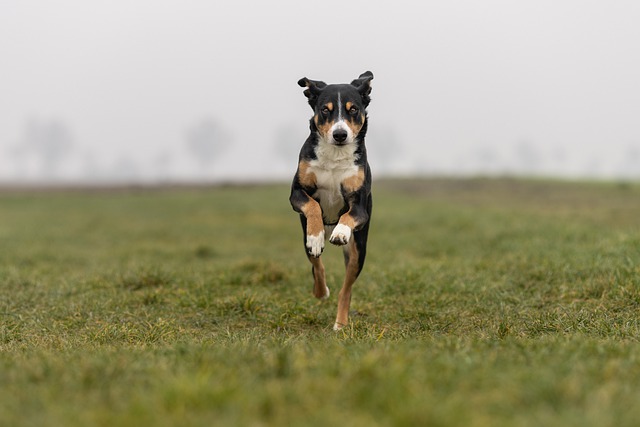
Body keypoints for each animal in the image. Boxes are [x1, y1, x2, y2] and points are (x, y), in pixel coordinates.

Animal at [292, 71, 376, 332]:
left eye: (353, 109)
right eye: (325, 110)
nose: (340, 134)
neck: (335, 157)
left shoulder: (360, 207)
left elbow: (349, 215)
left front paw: (340, 232)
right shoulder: (297, 192)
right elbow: (313, 206)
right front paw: (316, 236)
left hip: (359, 250)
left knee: (346, 289)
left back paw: (340, 323)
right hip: (303, 239)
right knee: (316, 264)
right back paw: (320, 291)